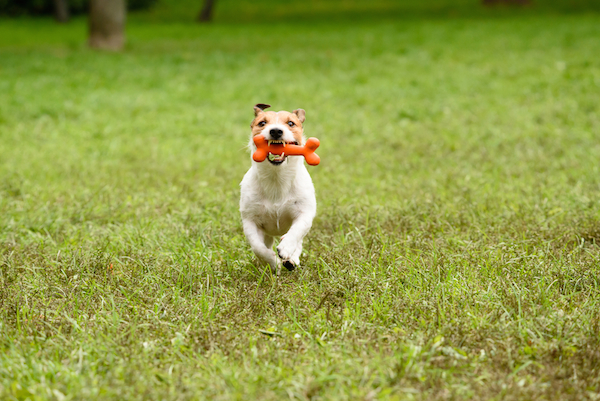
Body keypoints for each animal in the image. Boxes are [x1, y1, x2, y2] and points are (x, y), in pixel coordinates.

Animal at [238, 102, 316, 272]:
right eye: (262, 123)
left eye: (291, 123)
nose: (275, 131)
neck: (277, 178)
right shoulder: (250, 220)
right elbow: (258, 247)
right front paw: (273, 262)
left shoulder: (304, 213)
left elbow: (296, 232)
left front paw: (286, 249)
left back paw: (291, 259)